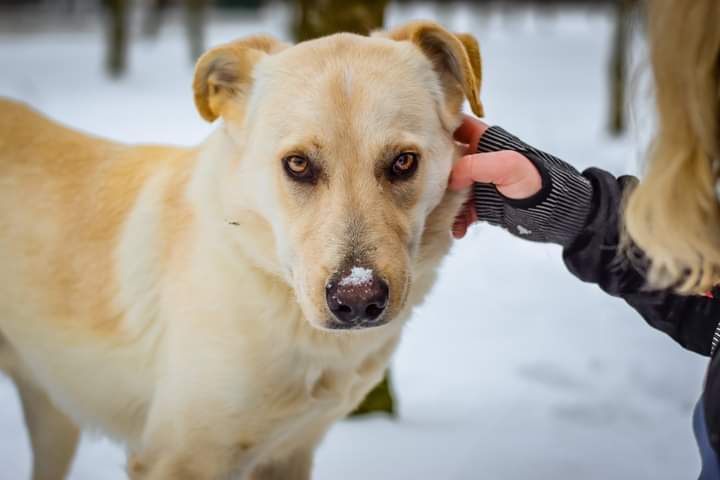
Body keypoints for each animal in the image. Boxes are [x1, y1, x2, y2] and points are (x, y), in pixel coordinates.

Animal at [0, 20, 484, 478]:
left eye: (403, 161)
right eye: (298, 164)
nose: (358, 299)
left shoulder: (288, 454)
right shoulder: (179, 460)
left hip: (52, 415)